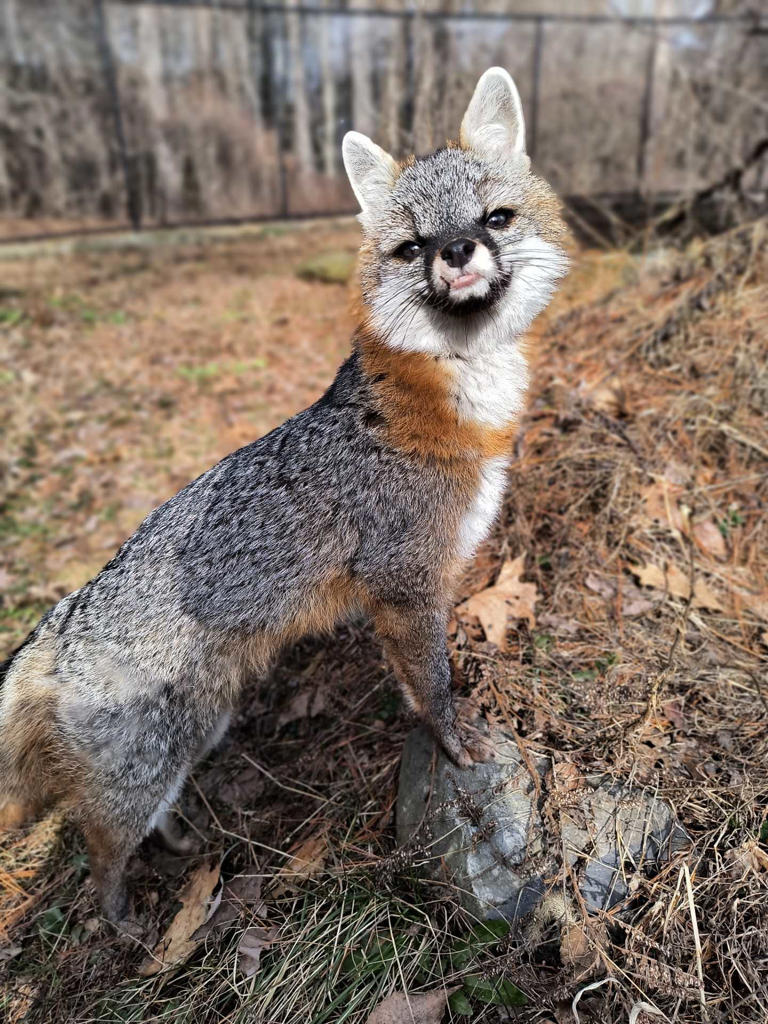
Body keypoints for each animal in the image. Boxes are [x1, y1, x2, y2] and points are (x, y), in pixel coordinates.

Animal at [0, 68, 569, 924]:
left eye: (494, 218)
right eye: (412, 247)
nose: (457, 251)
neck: (453, 405)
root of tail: (54, 626)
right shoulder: (403, 583)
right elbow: (431, 685)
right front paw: (454, 738)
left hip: (196, 732)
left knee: (147, 821)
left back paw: (183, 847)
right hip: (145, 772)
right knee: (99, 856)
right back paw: (124, 924)